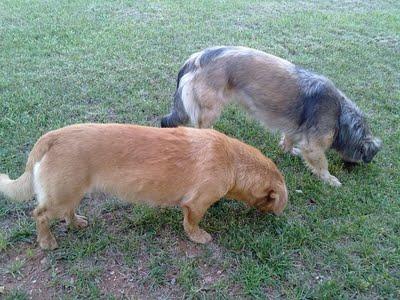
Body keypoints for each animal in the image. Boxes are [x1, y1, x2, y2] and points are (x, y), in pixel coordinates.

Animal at [0, 123, 288, 250]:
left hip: (71, 193)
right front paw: (197, 236)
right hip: (60, 196)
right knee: (39, 215)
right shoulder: (195, 204)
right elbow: (191, 222)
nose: (272, 218)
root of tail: (51, 137)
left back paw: (76, 223)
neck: (232, 159)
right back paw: (46, 241)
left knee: (68, 212)